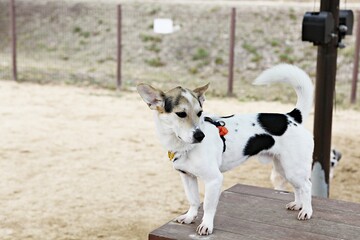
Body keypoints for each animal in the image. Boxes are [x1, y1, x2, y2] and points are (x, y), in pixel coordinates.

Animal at [139, 64, 316, 236]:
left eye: (200, 113)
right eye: (181, 114)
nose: (200, 135)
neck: (184, 145)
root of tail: (291, 117)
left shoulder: (214, 180)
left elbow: (208, 206)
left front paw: (206, 225)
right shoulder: (187, 177)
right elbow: (194, 200)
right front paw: (189, 217)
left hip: (293, 168)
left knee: (307, 186)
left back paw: (307, 211)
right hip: (284, 168)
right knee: (298, 187)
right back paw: (298, 205)